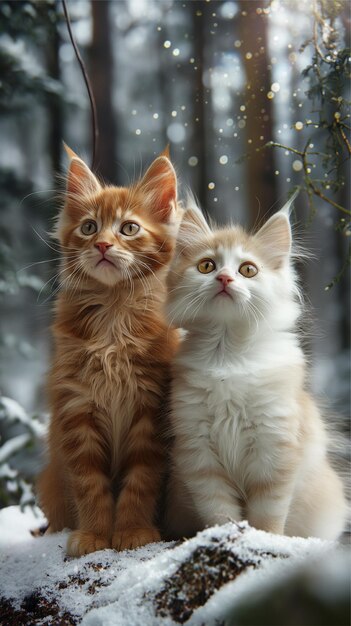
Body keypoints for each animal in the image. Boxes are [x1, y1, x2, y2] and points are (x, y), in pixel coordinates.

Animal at [36, 149, 182, 552]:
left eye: (128, 228)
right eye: (88, 228)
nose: (102, 245)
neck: (114, 318)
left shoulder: (151, 410)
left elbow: (140, 481)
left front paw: (132, 531)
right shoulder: (76, 408)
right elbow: (90, 486)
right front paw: (94, 535)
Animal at [166, 197, 348, 540]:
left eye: (248, 270)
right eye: (206, 266)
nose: (225, 278)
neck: (228, 356)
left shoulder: (275, 447)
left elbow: (268, 513)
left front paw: (265, 539)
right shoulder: (198, 452)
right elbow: (219, 510)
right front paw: (227, 536)